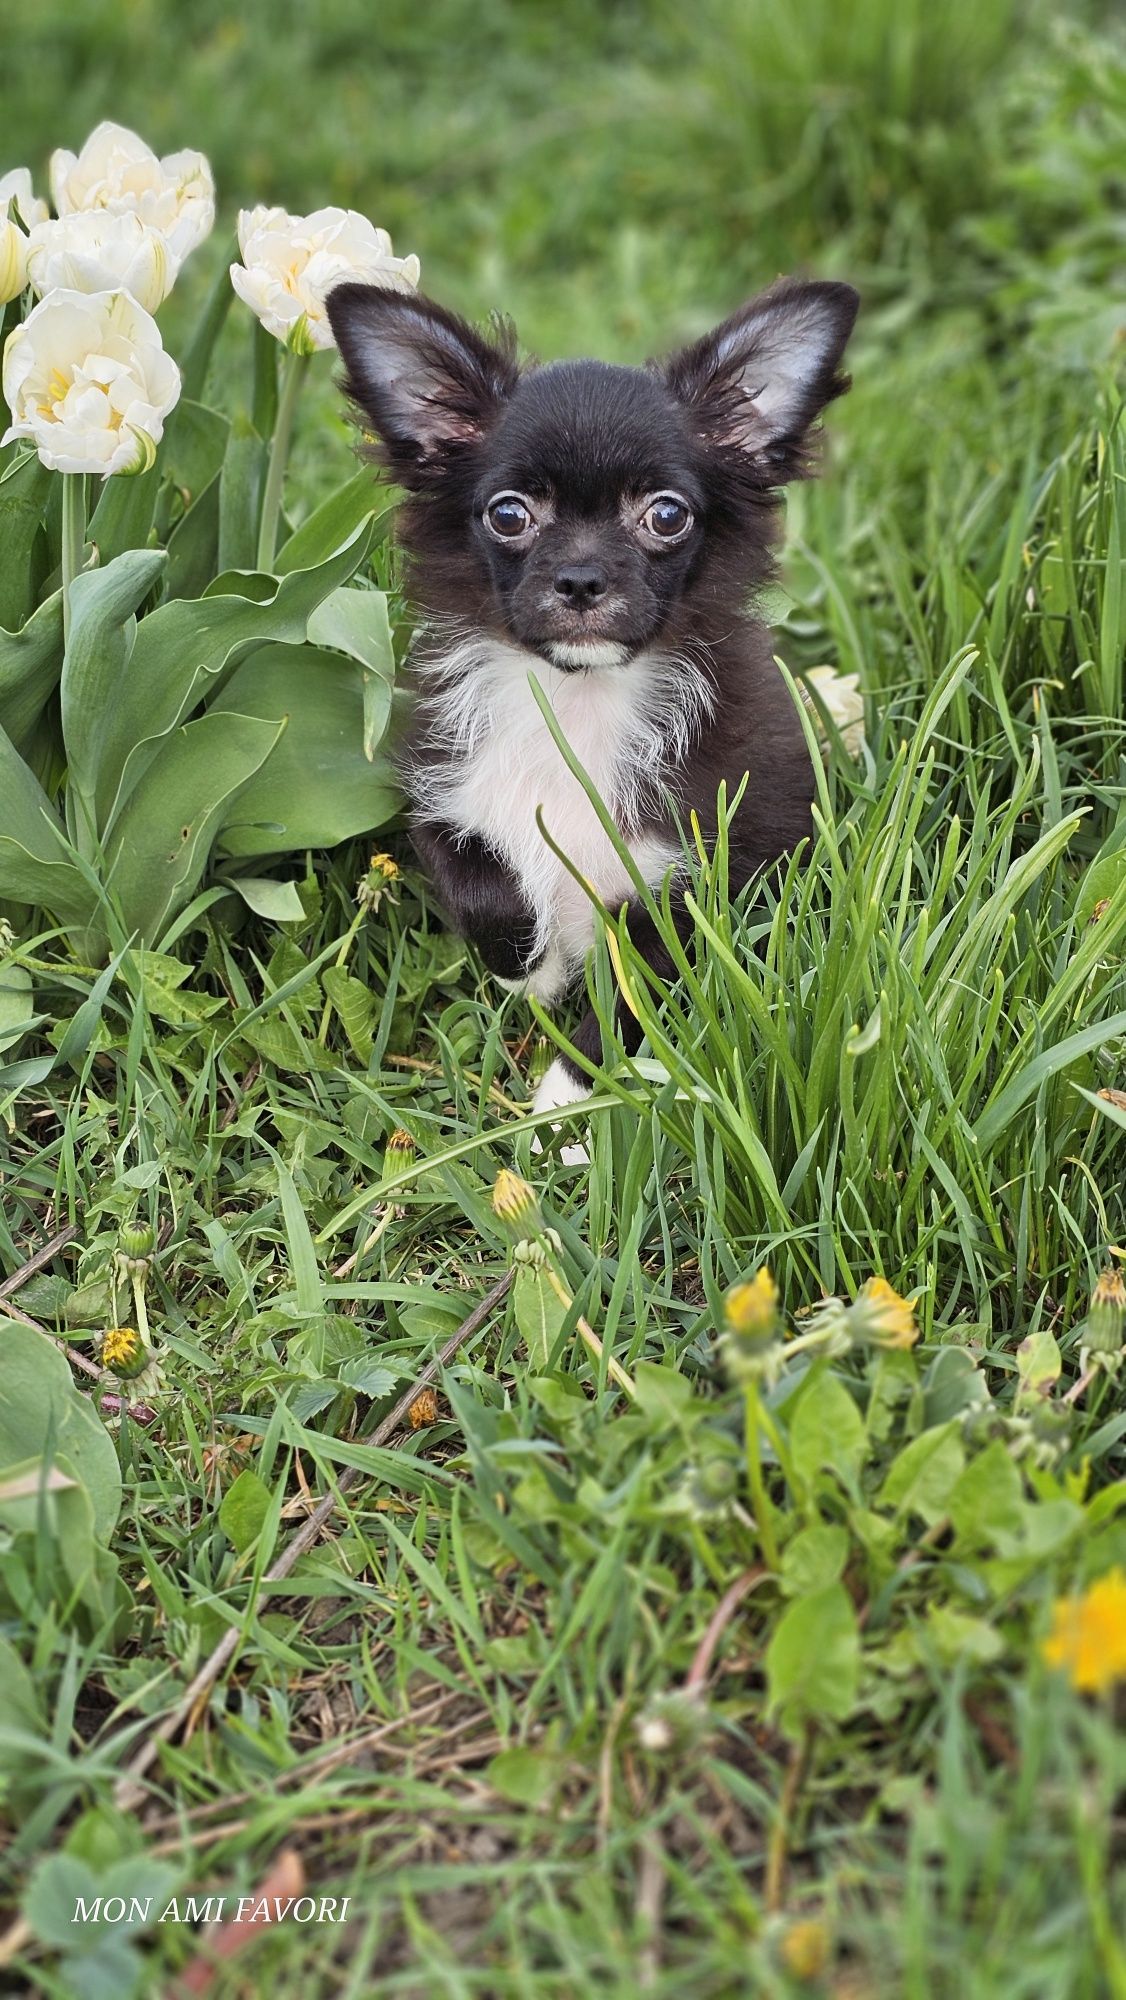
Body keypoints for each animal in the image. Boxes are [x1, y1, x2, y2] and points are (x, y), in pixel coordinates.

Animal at [322, 284, 860, 1160]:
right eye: (509, 515)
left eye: (667, 516)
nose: (579, 579)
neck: (577, 703)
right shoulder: (444, 793)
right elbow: (485, 890)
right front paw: (536, 970)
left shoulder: (701, 886)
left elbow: (632, 999)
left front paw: (566, 1109)